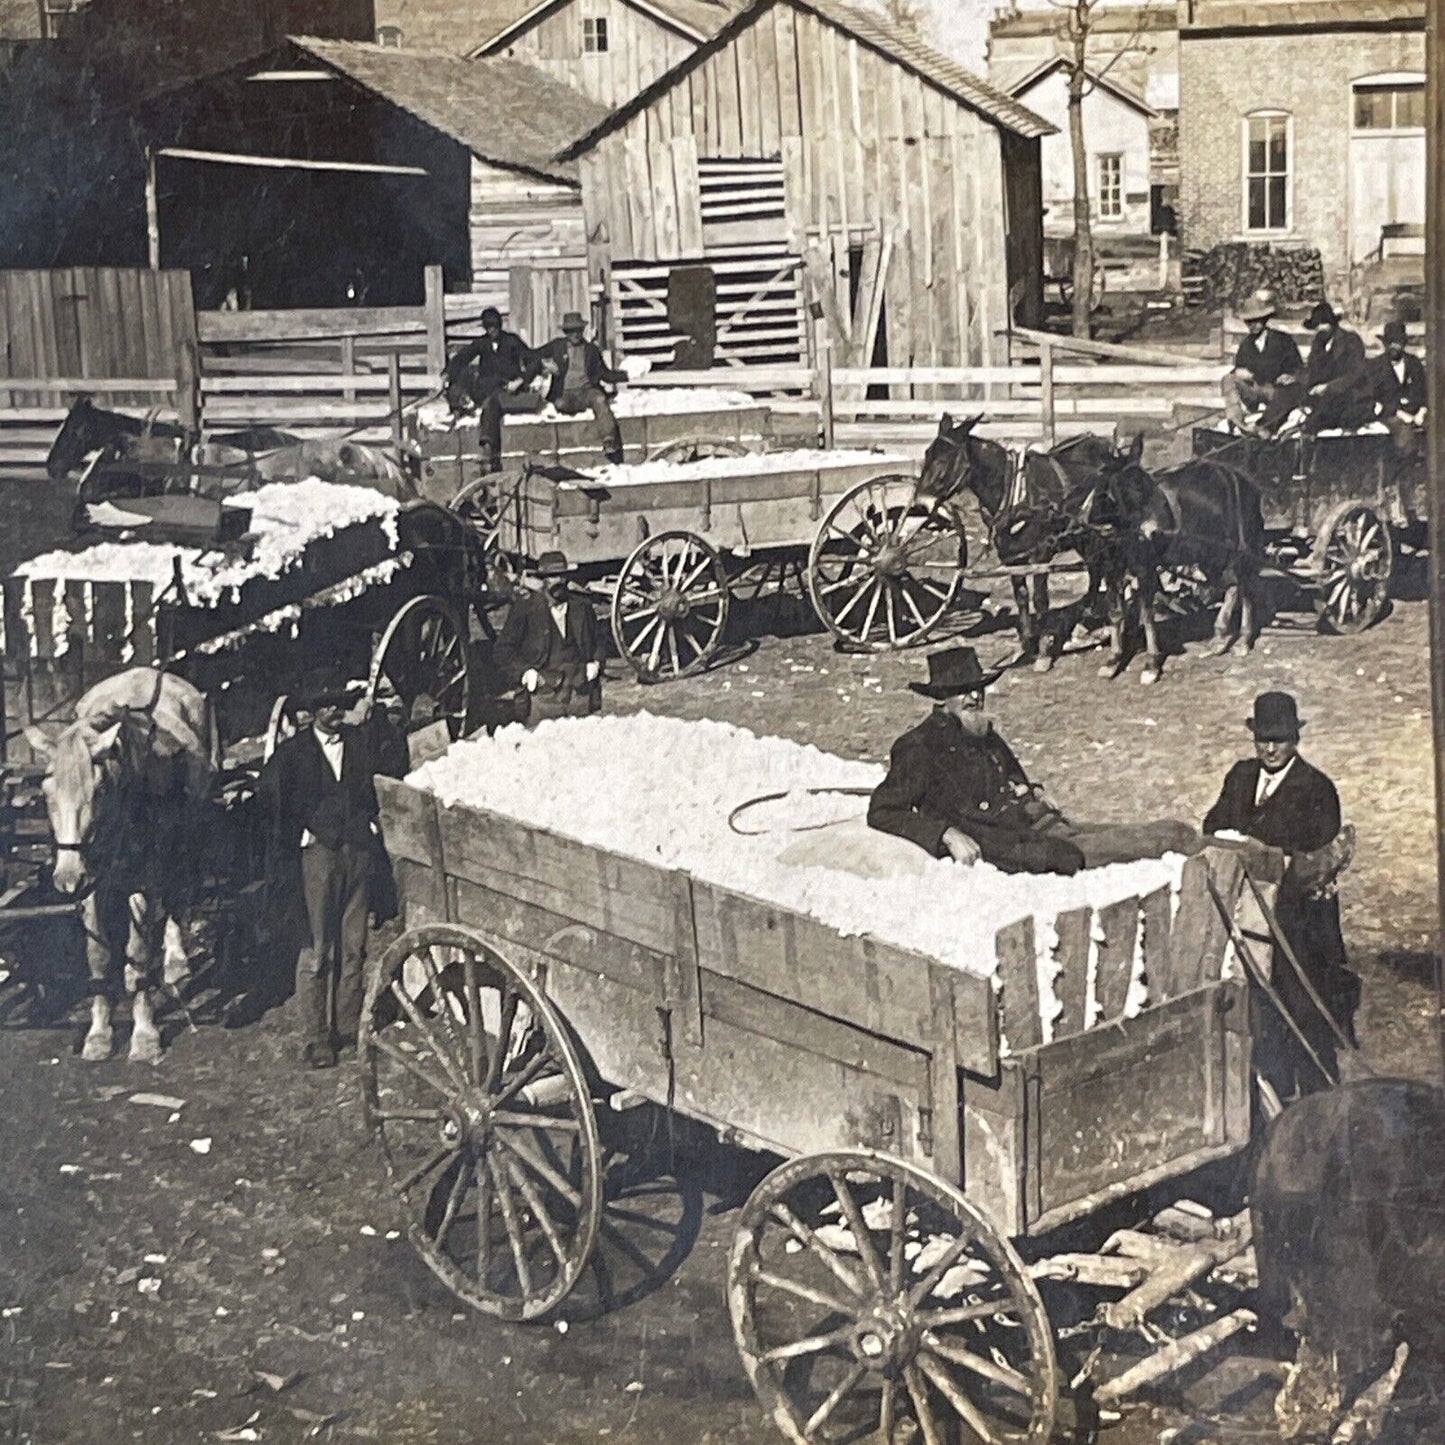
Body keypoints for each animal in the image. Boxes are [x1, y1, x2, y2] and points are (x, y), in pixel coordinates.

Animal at [25, 664, 216, 1063]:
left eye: (99, 790)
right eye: (47, 793)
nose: (67, 877)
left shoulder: (143, 881)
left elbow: (139, 949)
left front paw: (144, 1035)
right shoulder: (91, 887)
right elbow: (98, 956)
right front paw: (99, 1034)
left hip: (185, 838)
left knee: (177, 894)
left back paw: (175, 960)